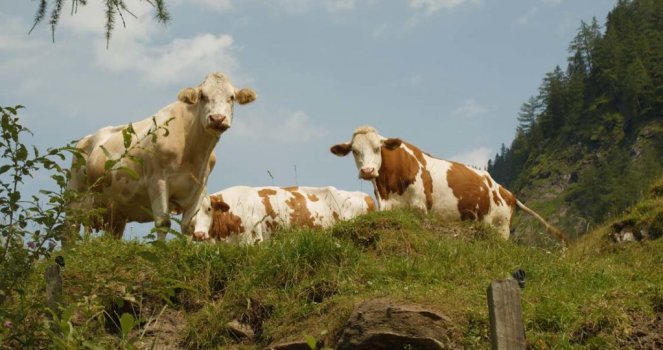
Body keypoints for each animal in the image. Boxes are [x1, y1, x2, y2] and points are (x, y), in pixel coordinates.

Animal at [65, 72, 256, 239]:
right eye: (202, 96)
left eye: (231, 97)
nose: (217, 118)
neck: (192, 153)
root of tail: (86, 139)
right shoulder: (158, 181)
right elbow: (163, 223)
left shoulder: (199, 187)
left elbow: (187, 226)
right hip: (75, 200)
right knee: (70, 233)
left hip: (115, 213)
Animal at [330, 126, 568, 243]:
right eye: (355, 151)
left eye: (377, 148)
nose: (367, 171)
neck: (388, 188)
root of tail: (506, 191)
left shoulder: (420, 208)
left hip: (501, 227)